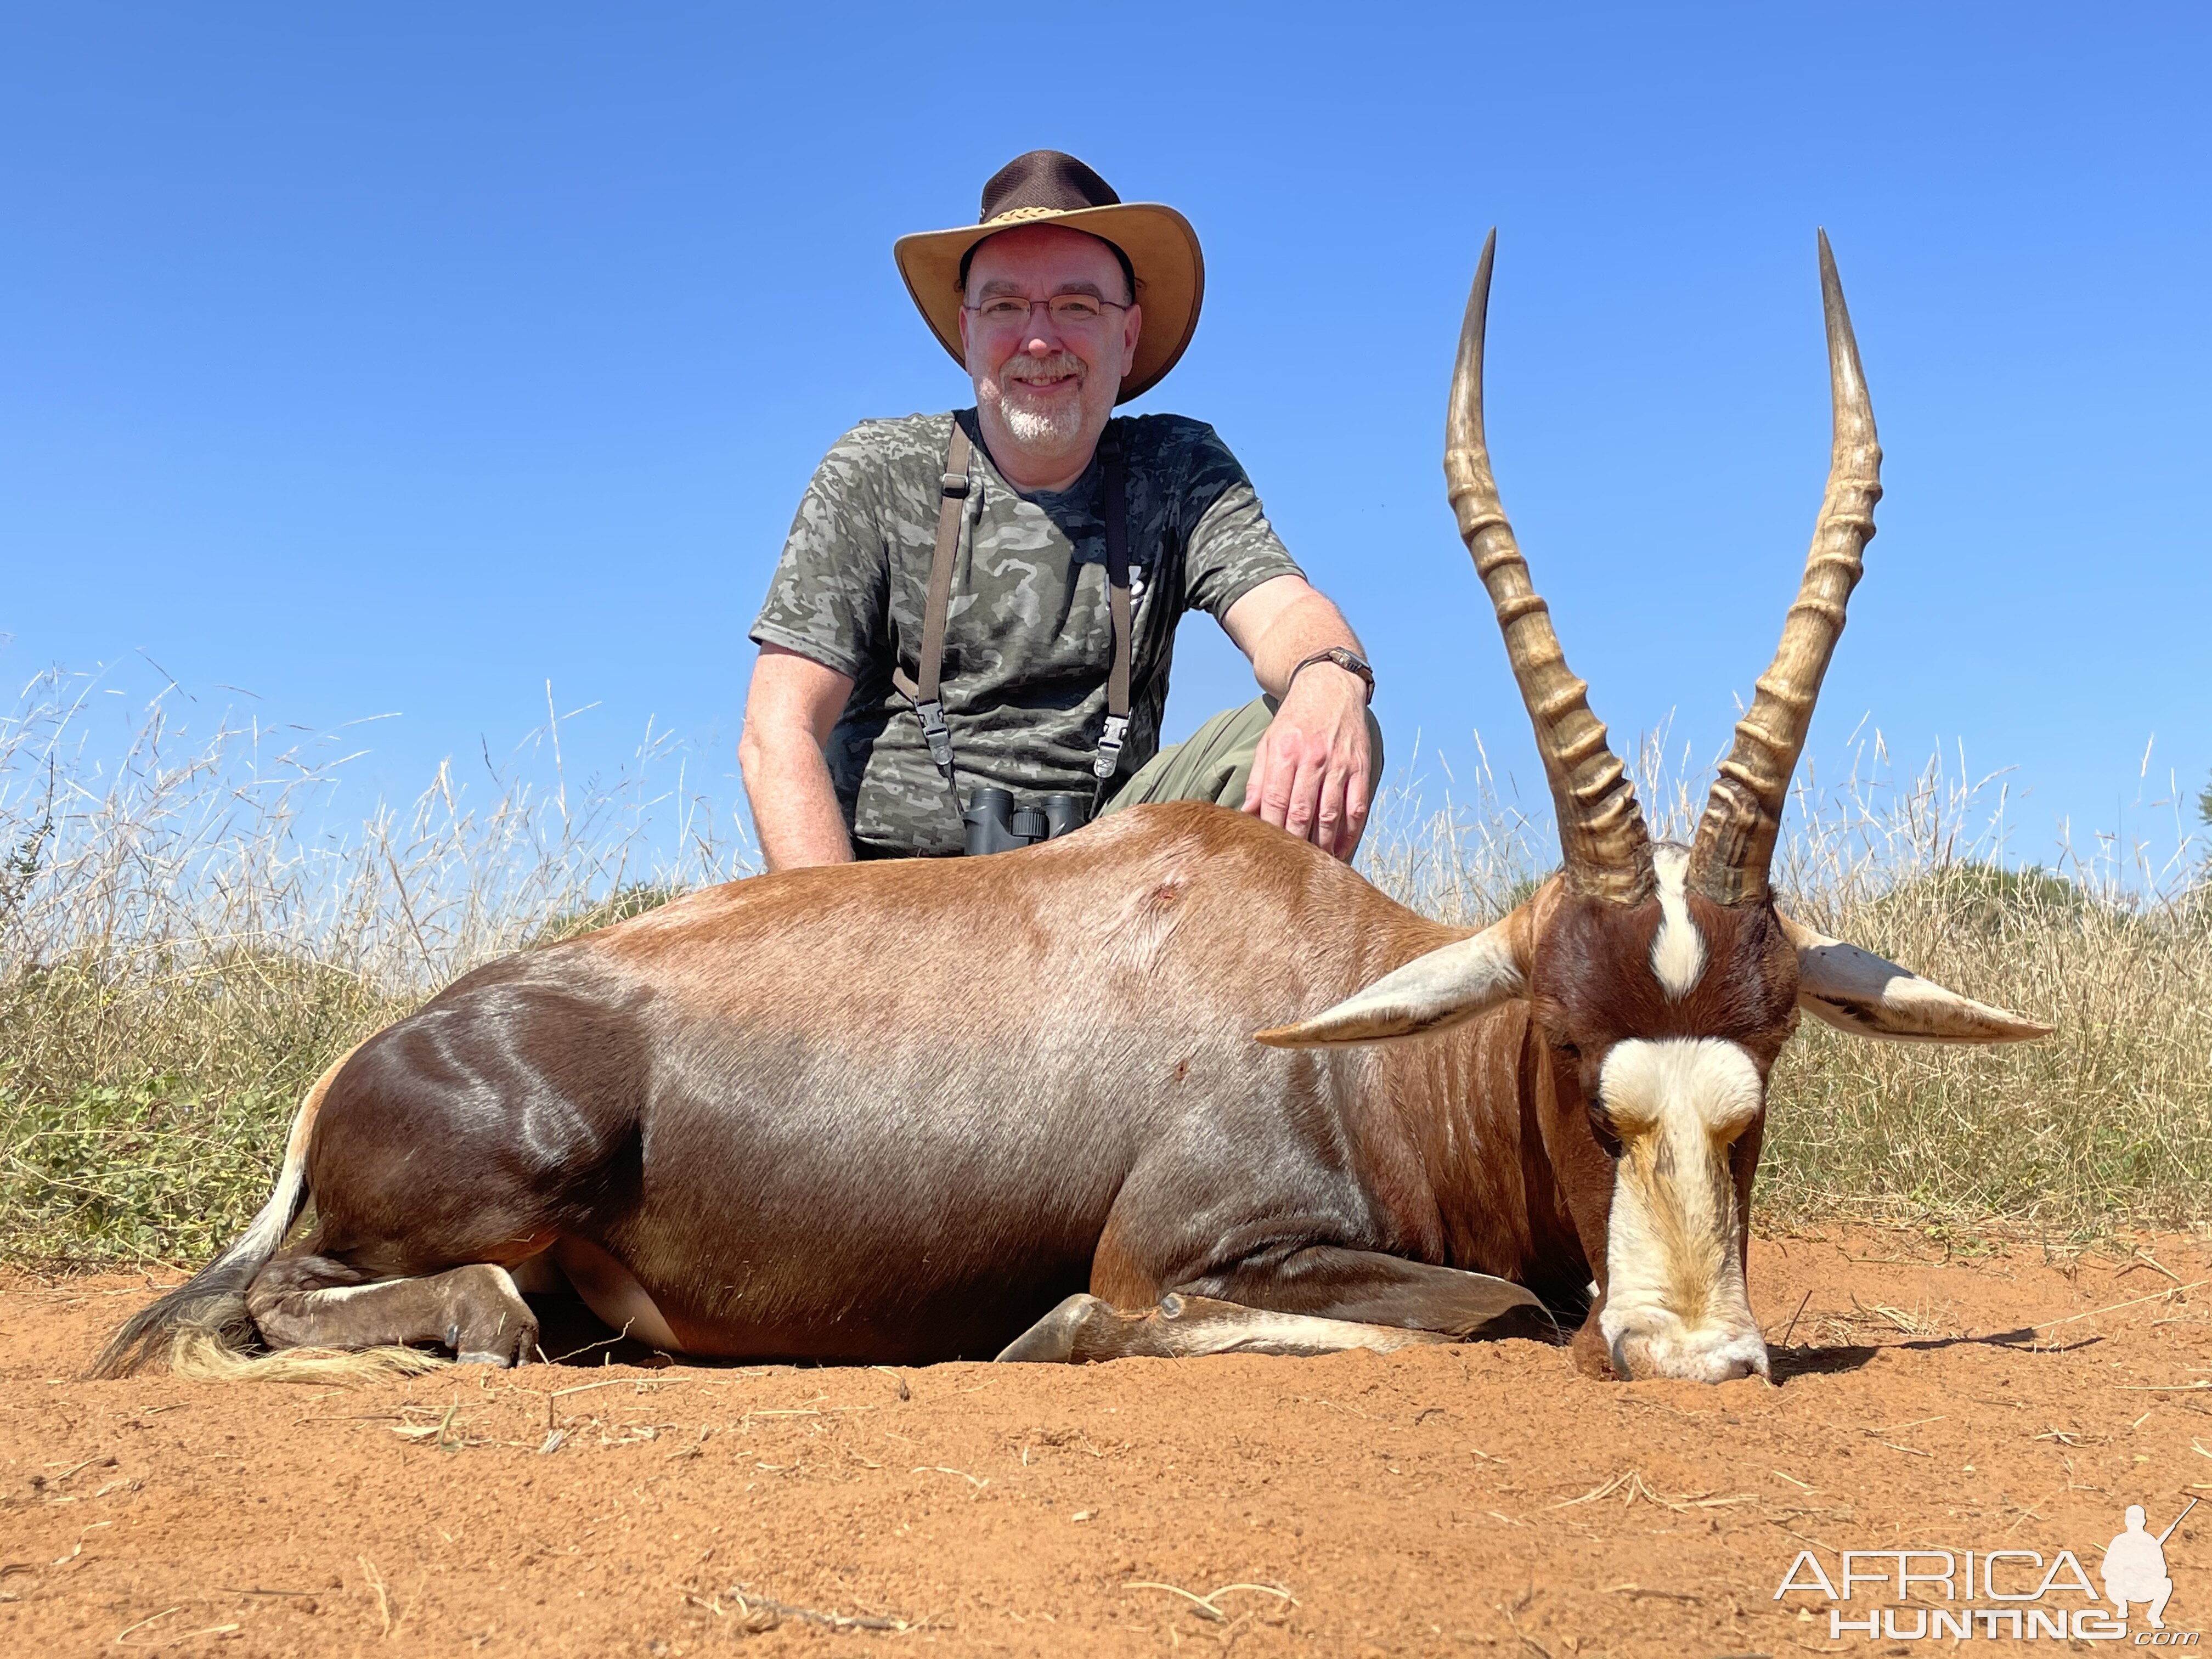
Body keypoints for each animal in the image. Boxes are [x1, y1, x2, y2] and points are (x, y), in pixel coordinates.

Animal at [99, 228, 2035, 1380]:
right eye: (1568, 1045)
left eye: (1771, 1047)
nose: (1697, 1356)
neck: (1349, 1016)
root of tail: (364, 1059)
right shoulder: (1184, 1251)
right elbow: (1470, 1312)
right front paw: (1048, 1338)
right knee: (397, 1307)